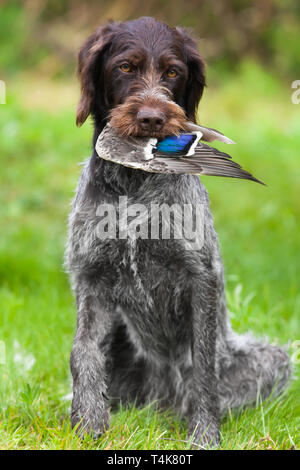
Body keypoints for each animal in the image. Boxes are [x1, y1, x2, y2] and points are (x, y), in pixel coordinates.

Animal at [63, 16, 290, 446]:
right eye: (125, 67)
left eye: (172, 71)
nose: (152, 119)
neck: (133, 183)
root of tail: (161, 402)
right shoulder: (91, 277)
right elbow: (83, 353)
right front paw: (87, 425)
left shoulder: (200, 277)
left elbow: (203, 367)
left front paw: (204, 435)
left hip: (273, 358)